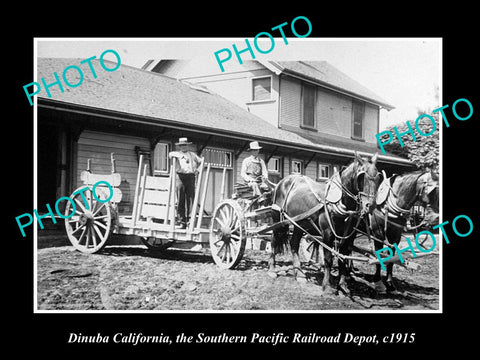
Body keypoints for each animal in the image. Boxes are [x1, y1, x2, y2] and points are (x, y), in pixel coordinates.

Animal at [268, 153, 380, 296]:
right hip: (278, 220)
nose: (370, 205)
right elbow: (328, 260)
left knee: (294, 244)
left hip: (299, 224)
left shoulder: (347, 237)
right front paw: (326, 286)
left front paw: (343, 285)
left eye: (378, 178)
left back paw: (299, 273)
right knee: (274, 241)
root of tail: (282, 182)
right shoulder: (327, 233)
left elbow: (343, 260)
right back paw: (272, 269)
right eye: (361, 177)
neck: (339, 201)